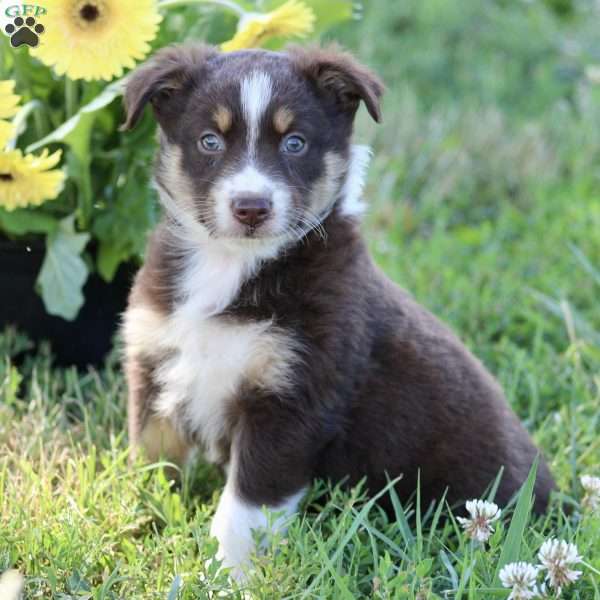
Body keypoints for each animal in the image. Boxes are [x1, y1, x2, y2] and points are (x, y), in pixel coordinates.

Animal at [123, 42, 556, 576]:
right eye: (209, 141)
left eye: (295, 143)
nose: (251, 207)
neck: (230, 265)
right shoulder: (155, 365)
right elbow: (151, 463)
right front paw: (138, 521)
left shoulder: (291, 400)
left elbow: (243, 511)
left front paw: (228, 577)